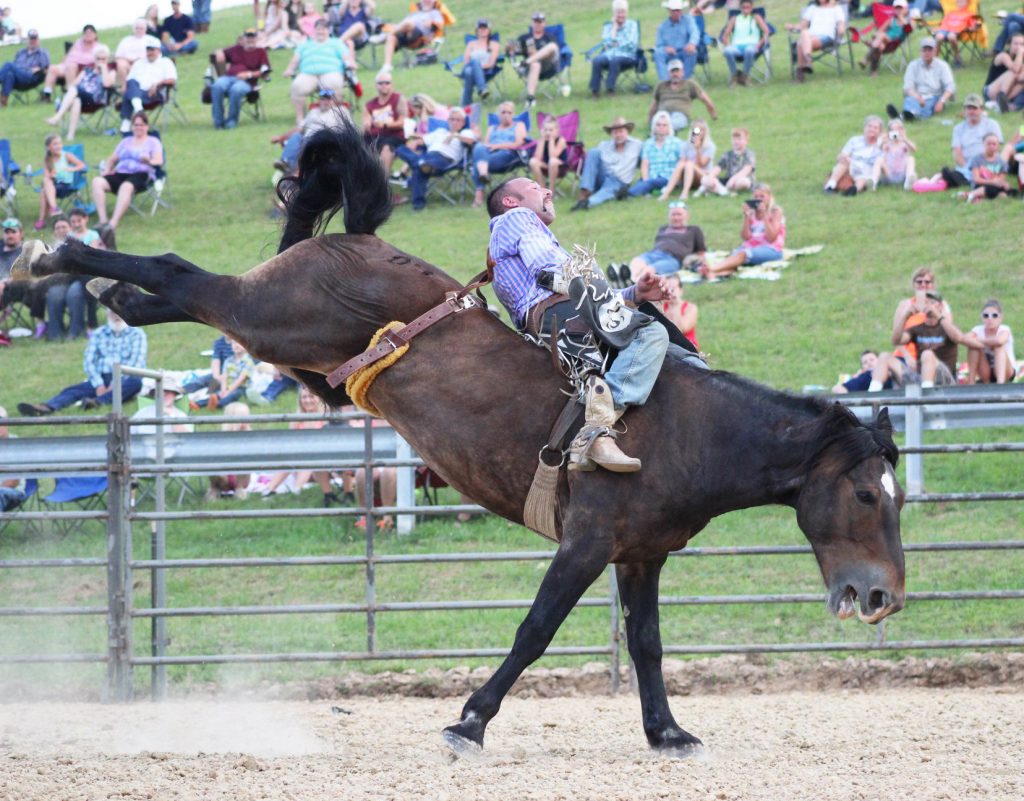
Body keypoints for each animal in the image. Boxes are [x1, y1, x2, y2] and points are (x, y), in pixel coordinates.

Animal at [9, 120, 905, 757]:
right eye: (867, 493)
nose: (884, 597)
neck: (690, 426)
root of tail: (360, 238)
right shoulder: (586, 540)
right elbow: (536, 628)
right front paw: (469, 720)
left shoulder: (639, 552)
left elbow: (648, 644)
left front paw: (668, 732)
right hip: (272, 312)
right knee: (176, 268)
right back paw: (47, 257)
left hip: (279, 339)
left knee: (174, 294)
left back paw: (98, 289)